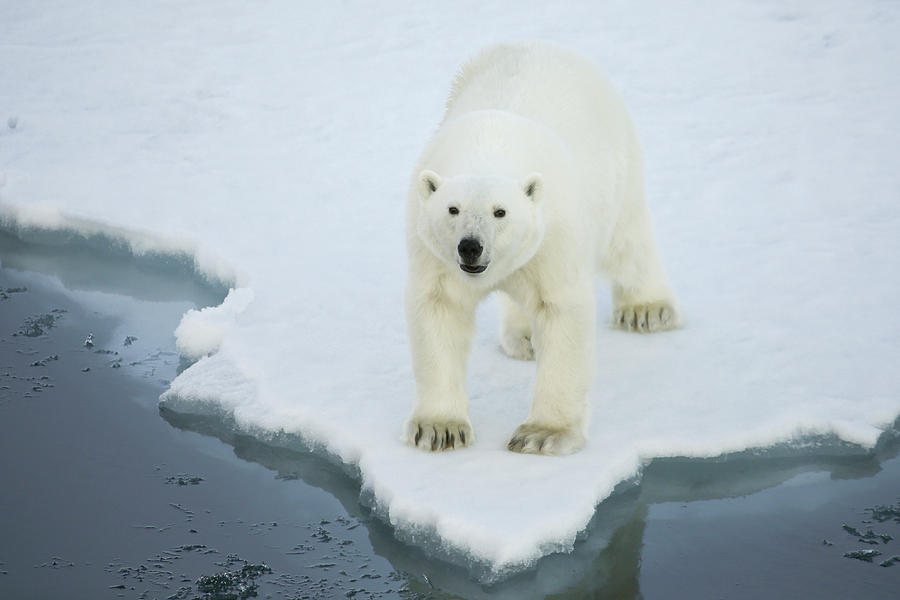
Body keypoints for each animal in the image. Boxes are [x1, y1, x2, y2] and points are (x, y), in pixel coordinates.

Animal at [404, 41, 680, 454]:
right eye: (452, 209)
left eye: (500, 211)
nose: (470, 247)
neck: (489, 147)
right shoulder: (433, 252)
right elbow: (440, 309)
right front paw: (440, 429)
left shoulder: (555, 235)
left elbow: (561, 312)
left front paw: (542, 434)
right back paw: (523, 337)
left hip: (617, 157)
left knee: (627, 240)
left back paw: (646, 310)